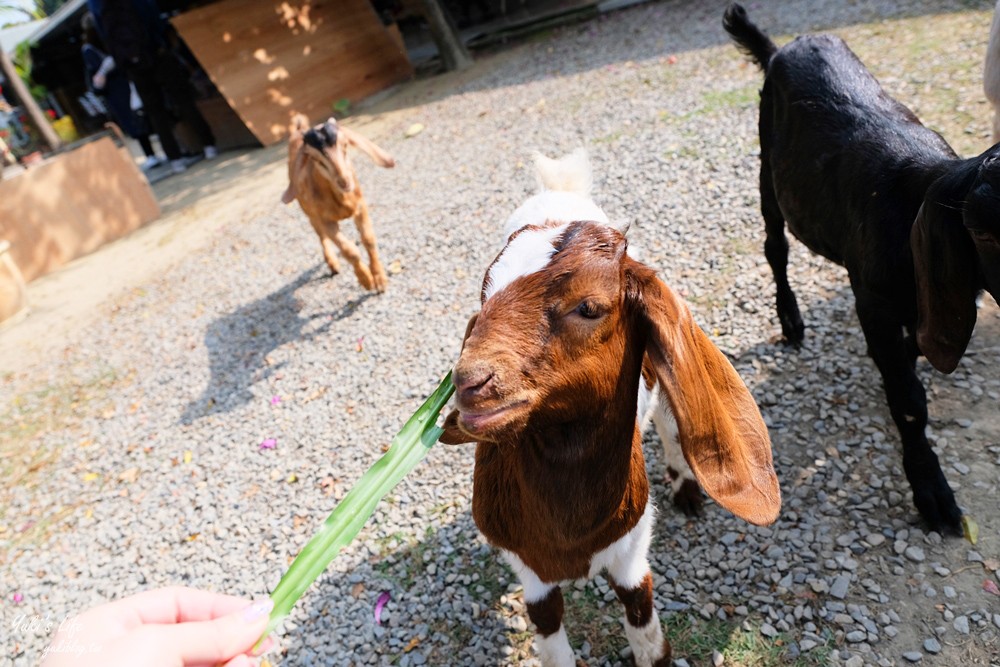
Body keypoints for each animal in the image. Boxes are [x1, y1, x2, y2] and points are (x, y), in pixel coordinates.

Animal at [282, 113, 394, 292]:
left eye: (346, 145)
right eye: (314, 158)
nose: (344, 181)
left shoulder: (360, 207)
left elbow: (369, 239)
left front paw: (380, 279)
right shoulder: (325, 220)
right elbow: (349, 251)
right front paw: (366, 281)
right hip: (310, 215)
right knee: (321, 236)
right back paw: (333, 264)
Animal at [444, 151, 780, 667]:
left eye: (589, 307)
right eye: (482, 300)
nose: (469, 383)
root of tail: (560, 189)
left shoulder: (632, 547)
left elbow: (643, 621)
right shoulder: (529, 569)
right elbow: (550, 632)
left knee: (667, 419)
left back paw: (685, 487)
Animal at [724, 0, 1000, 532]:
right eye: (983, 231)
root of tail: (783, 47)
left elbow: (910, 356)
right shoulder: (871, 297)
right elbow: (910, 401)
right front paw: (932, 491)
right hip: (767, 170)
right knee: (775, 247)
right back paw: (790, 320)